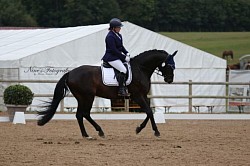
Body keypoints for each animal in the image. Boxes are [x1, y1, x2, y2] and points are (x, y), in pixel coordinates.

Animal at [37, 49, 178, 139]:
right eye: (170, 65)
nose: (169, 80)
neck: (140, 68)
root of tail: (70, 73)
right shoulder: (137, 96)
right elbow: (149, 111)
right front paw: (155, 131)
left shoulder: (143, 96)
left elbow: (150, 112)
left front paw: (140, 129)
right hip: (88, 96)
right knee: (85, 113)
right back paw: (99, 132)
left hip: (81, 98)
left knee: (79, 115)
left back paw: (86, 135)